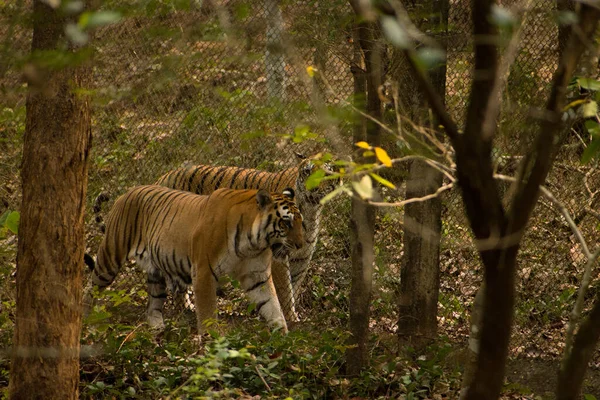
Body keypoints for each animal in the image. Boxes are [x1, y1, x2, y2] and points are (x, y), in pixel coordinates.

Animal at [83, 185, 304, 334]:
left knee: (153, 304)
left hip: (156, 270)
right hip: (110, 256)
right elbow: (207, 312)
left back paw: (158, 329)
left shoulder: (257, 275)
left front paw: (283, 338)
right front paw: (211, 343)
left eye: (301, 222)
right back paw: (85, 320)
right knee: (90, 287)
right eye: (286, 223)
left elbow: (272, 306)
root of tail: (128, 191)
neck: (253, 243)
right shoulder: (204, 271)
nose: (300, 245)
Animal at [155, 153, 340, 324]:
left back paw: (186, 308)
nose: (314, 187)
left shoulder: (302, 256)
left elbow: (293, 286)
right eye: (308, 171)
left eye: (327, 172)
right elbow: (284, 290)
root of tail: (164, 176)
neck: (311, 209)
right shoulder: (278, 257)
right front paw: (290, 318)